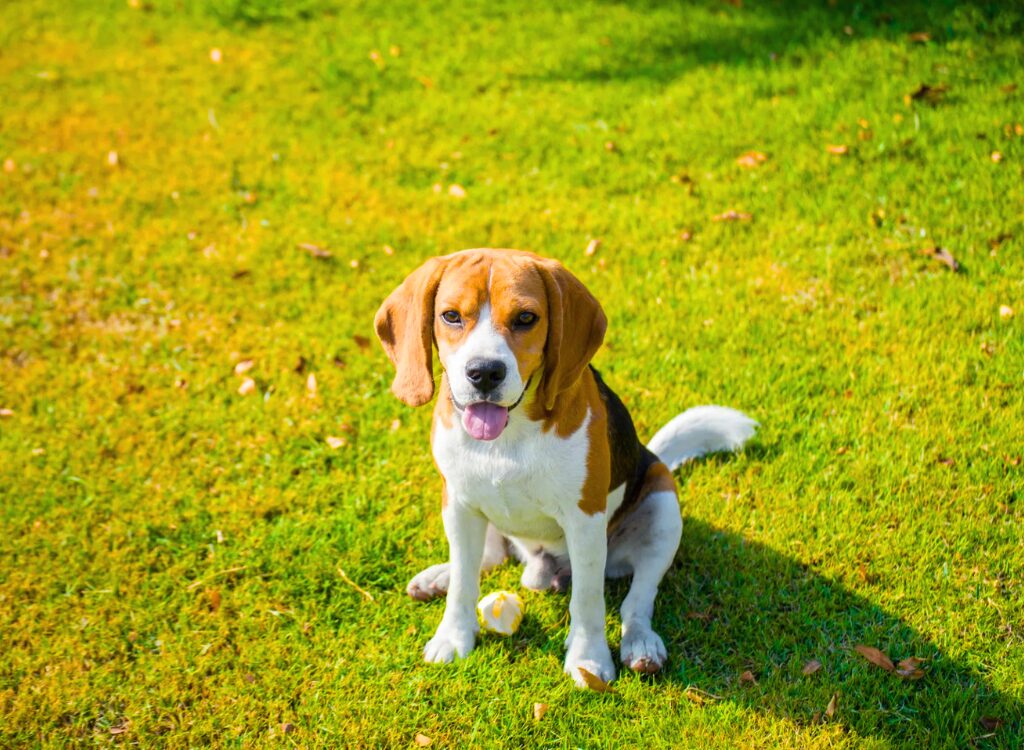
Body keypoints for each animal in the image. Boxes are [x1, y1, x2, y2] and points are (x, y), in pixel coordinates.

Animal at [372, 248, 757, 688]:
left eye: (526, 318)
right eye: (451, 316)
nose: (484, 372)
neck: (509, 435)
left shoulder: (585, 520)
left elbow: (588, 600)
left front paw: (588, 659)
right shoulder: (459, 503)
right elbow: (465, 583)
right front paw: (453, 635)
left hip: (663, 507)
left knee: (638, 598)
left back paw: (641, 644)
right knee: (487, 558)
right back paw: (440, 576)